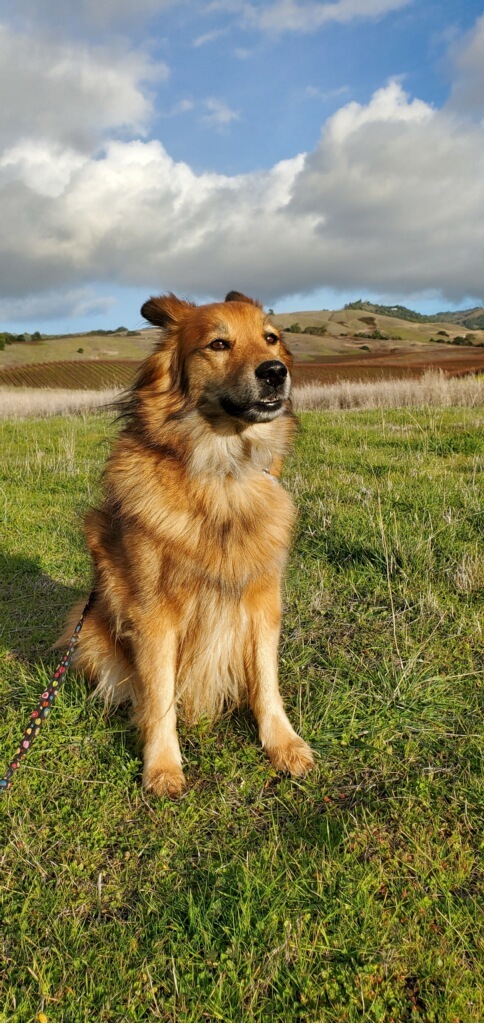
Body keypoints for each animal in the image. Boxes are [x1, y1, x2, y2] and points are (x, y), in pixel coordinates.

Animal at [64, 292, 313, 794]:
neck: (222, 474)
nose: (275, 371)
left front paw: (283, 743)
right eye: (218, 344)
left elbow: (266, 680)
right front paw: (162, 766)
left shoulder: (263, 600)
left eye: (270, 338)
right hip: (87, 631)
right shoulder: (152, 612)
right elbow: (159, 693)